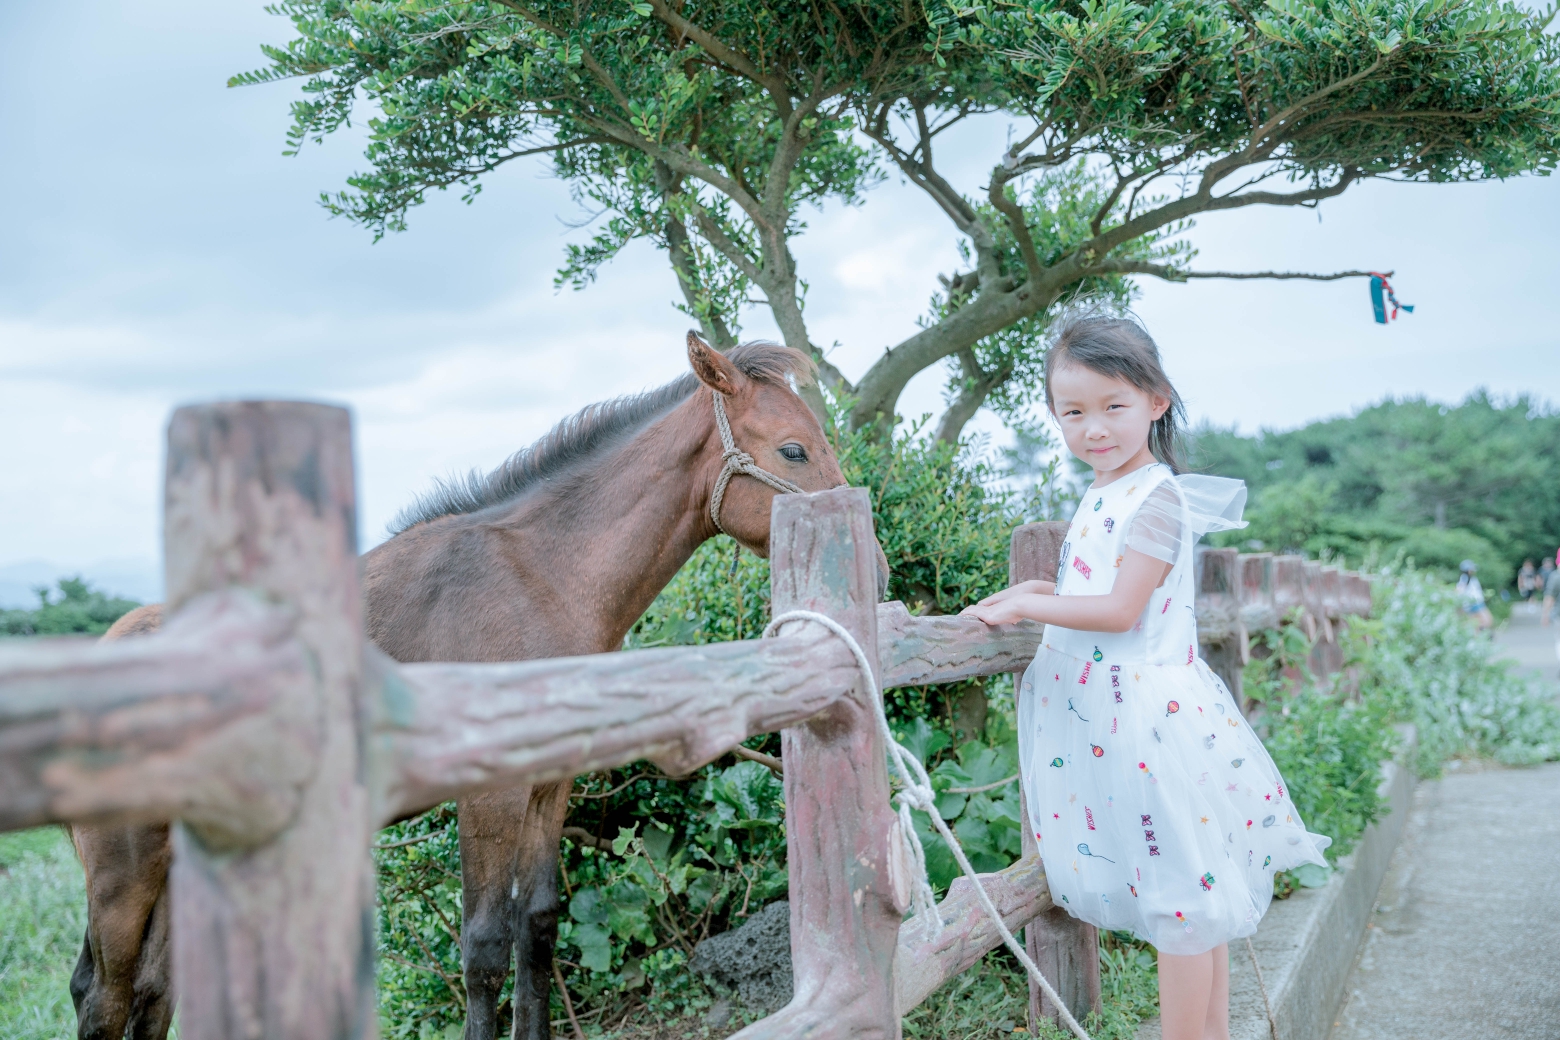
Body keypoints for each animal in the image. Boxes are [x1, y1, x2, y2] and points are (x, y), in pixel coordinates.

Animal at [70, 338, 879, 1040]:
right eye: (794, 448)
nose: (873, 560)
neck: (541, 576)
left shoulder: (549, 782)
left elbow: (538, 929)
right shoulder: (487, 796)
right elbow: (485, 948)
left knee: (150, 994)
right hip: (122, 875)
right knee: (104, 995)